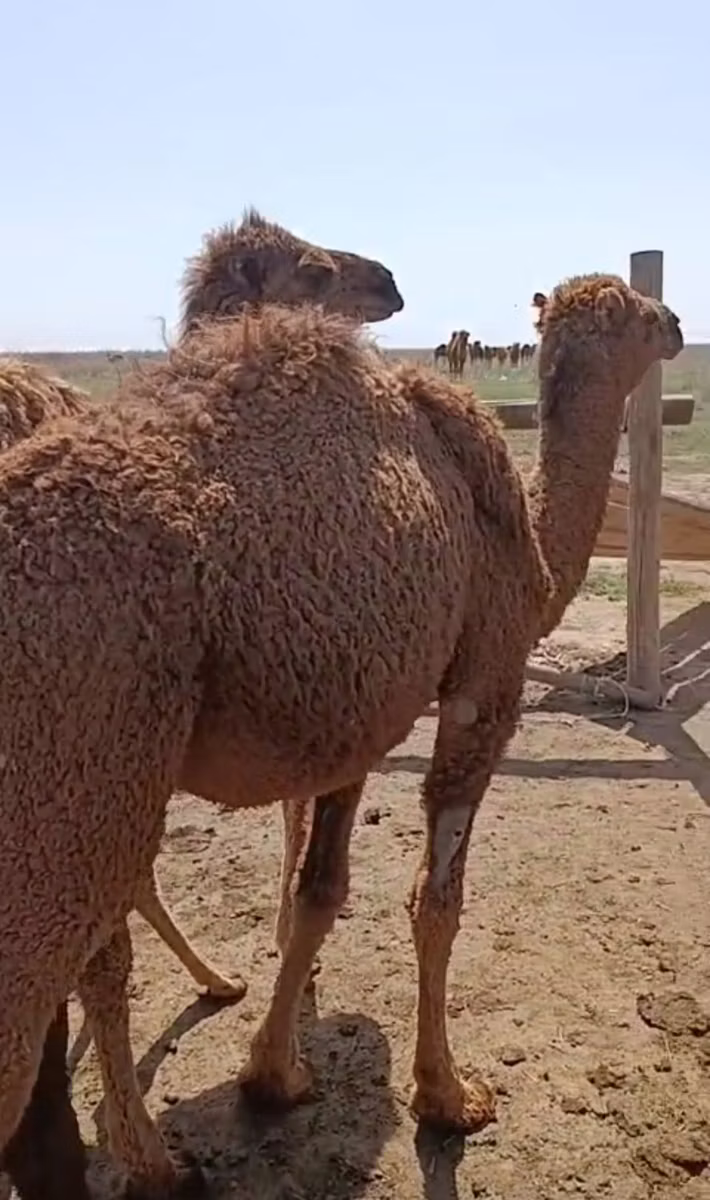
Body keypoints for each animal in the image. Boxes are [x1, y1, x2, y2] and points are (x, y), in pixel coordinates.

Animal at [0, 273, 682, 1197]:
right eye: (641, 314)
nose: (677, 323)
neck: (526, 539)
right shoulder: (485, 684)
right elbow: (437, 899)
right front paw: (449, 1096)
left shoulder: (354, 721)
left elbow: (317, 893)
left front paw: (274, 1075)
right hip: (75, 786)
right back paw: (156, 1160)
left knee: (102, 958)